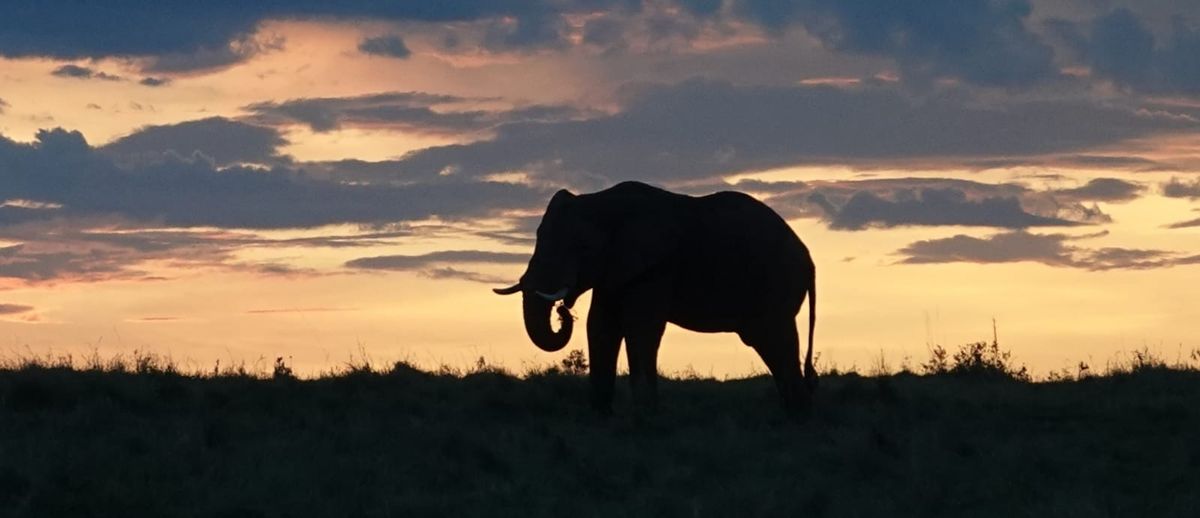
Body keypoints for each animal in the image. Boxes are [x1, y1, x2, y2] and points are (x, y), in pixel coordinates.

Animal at [494, 179, 816, 414]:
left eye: (581, 247)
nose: (563, 310)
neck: (599, 202)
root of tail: (809, 258)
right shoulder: (615, 271)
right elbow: (600, 326)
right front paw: (599, 416)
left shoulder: (653, 268)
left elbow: (640, 328)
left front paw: (645, 417)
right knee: (771, 345)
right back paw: (791, 415)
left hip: (775, 283)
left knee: (776, 340)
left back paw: (796, 418)